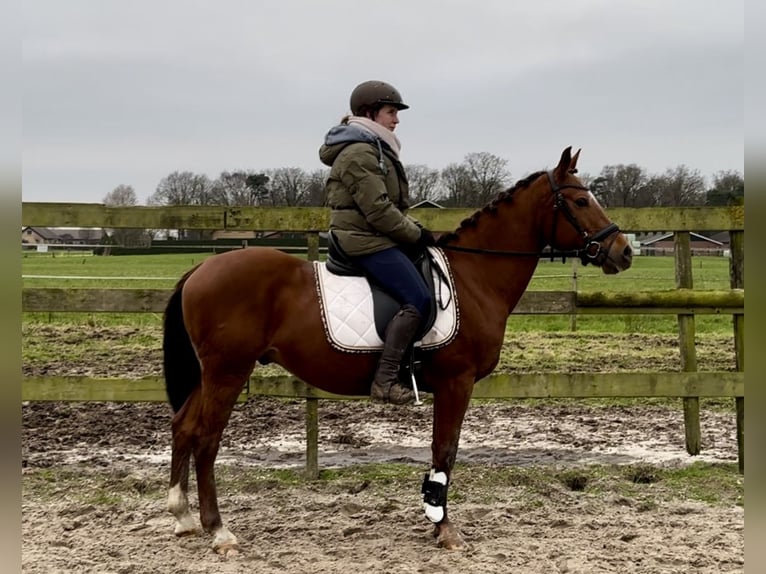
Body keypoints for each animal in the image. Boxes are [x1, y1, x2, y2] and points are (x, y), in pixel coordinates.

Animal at [164, 147, 636, 552]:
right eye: (580, 200)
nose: (624, 251)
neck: (474, 276)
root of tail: (202, 267)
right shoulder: (456, 383)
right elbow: (445, 450)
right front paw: (443, 528)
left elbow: (442, 450)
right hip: (228, 371)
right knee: (207, 438)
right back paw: (219, 531)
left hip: (210, 374)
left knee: (183, 427)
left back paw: (183, 517)